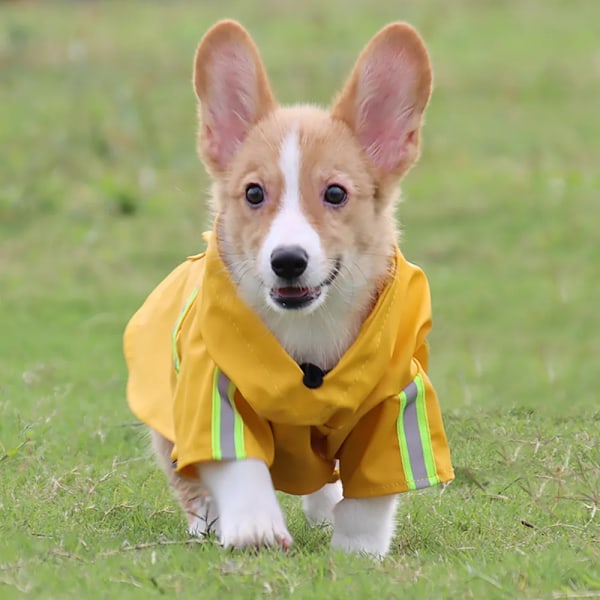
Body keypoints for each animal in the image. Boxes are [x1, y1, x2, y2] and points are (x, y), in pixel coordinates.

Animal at [125, 18, 454, 556]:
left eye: (335, 193)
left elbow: (371, 494)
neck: (309, 329)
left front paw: (357, 550)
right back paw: (209, 523)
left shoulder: (394, 406)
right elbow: (239, 464)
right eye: (254, 193)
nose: (287, 261)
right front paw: (255, 531)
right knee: (191, 481)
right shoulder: (210, 390)